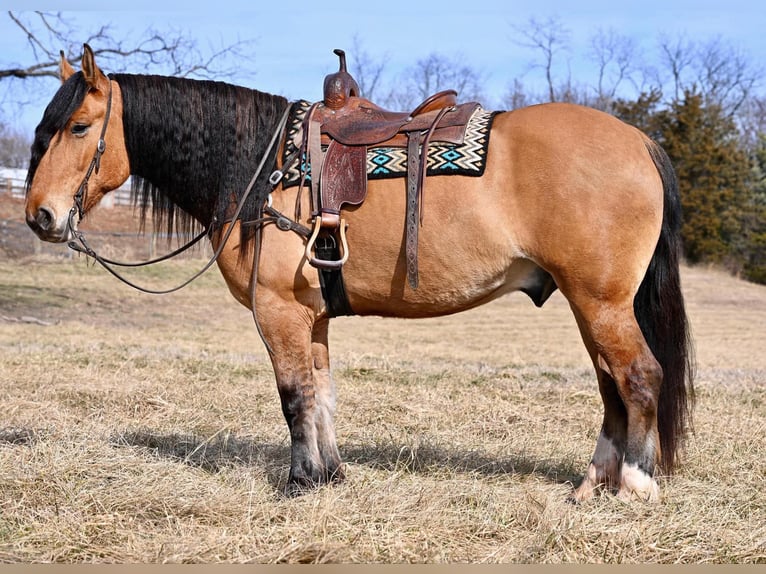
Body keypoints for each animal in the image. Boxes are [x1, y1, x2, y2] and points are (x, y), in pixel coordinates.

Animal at [25, 46, 696, 504]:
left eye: (78, 127)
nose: (40, 216)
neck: (261, 171)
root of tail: (638, 141)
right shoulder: (312, 316)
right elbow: (323, 394)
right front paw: (330, 475)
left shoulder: (278, 311)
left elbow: (294, 396)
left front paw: (299, 481)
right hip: (591, 306)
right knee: (611, 386)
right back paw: (592, 484)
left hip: (601, 302)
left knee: (639, 377)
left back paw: (635, 485)